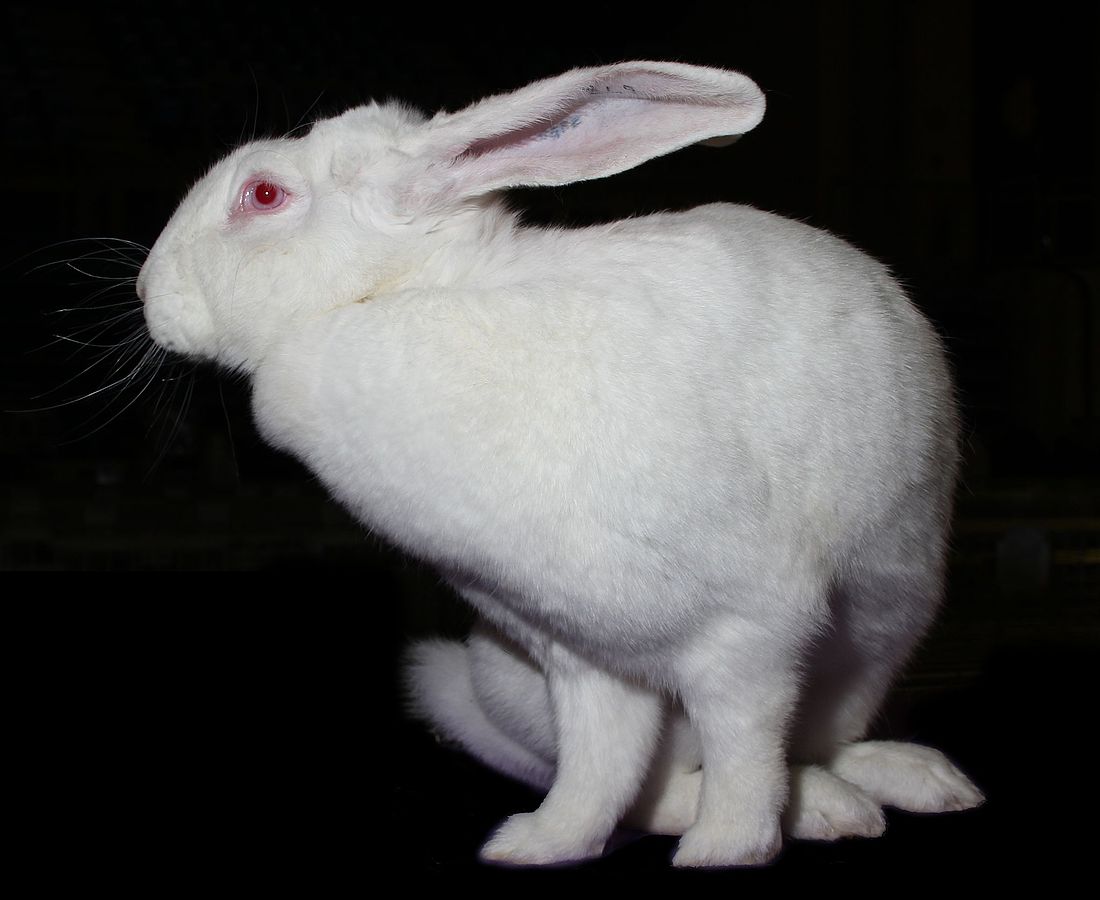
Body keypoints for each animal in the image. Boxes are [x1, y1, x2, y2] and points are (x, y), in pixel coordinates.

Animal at [137, 60, 983, 867]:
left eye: (263, 193)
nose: (148, 292)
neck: (399, 293)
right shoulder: (583, 657)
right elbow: (599, 770)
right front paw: (539, 845)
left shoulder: (749, 633)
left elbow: (742, 754)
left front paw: (725, 851)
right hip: (490, 678)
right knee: (659, 781)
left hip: (876, 640)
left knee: (806, 745)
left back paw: (905, 785)